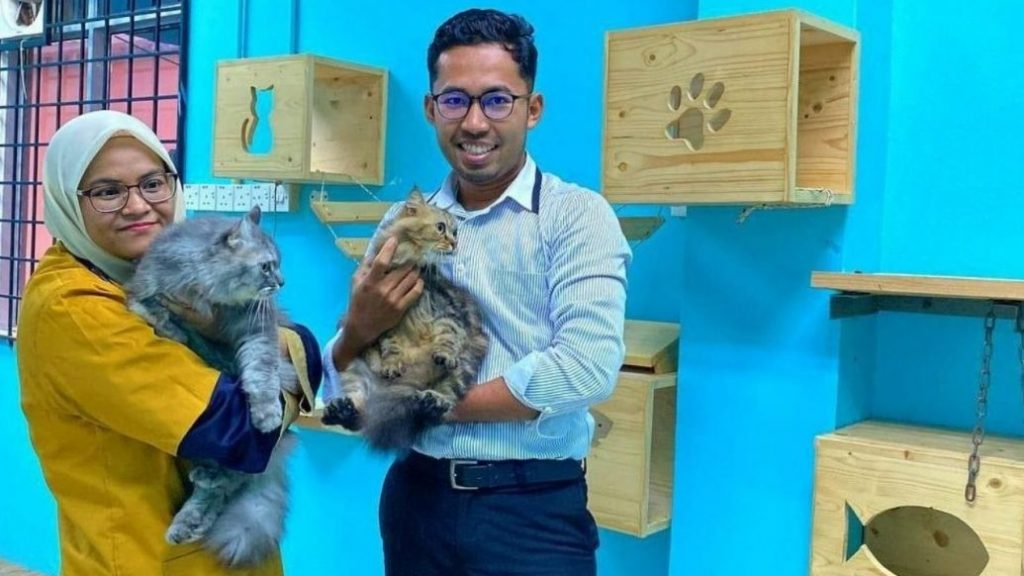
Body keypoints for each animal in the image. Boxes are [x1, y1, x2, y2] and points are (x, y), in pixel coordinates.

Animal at [124, 205, 293, 567]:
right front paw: (173, 330)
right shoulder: (142, 286)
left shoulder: (258, 331)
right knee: (219, 491)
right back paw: (188, 523)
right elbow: (150, 308)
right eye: (267, 266)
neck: (207, 290)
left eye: (278, 265)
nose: (282, 281)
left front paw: (267, 413)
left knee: (232, 480)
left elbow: (262, 373)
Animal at [322, 188, 489, 451]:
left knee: (445, 396)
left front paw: (444, 352)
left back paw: (432, 401)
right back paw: (342, 409)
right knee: (359, 404)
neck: (408, 260)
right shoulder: (386, 322)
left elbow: (448, 336)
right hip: (357, 366)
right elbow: (392, 346)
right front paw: (392, 363)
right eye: (440, 228)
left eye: (455, 232)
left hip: (467, 361)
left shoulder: (449, 311)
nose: (454, 243)